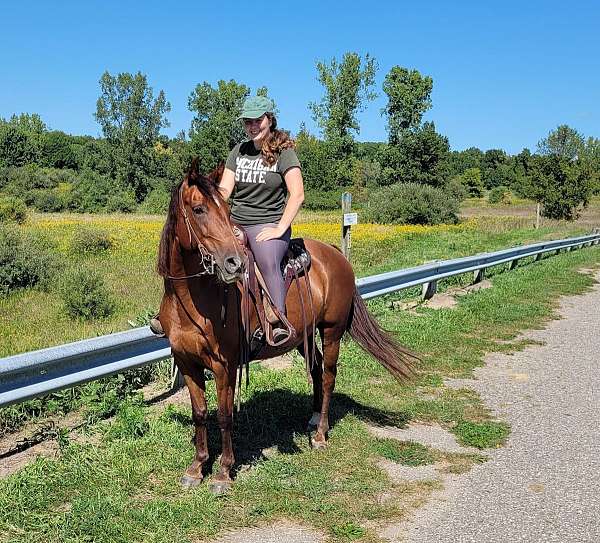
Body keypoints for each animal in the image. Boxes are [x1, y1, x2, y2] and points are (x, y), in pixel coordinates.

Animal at [155, 159, 418, 496]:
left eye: (226, 211)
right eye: (199, 209)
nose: (235, 263)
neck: (193, 300)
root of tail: (336, 254)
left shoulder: (224, 366)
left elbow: (225, 416)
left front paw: (224, 472)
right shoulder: (187, 362)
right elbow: (200, 414)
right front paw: (197, 467)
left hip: (331, 330)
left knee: (329, 376)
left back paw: (320, 435)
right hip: (304, 336)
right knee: (317, 370)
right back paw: (314, 418)